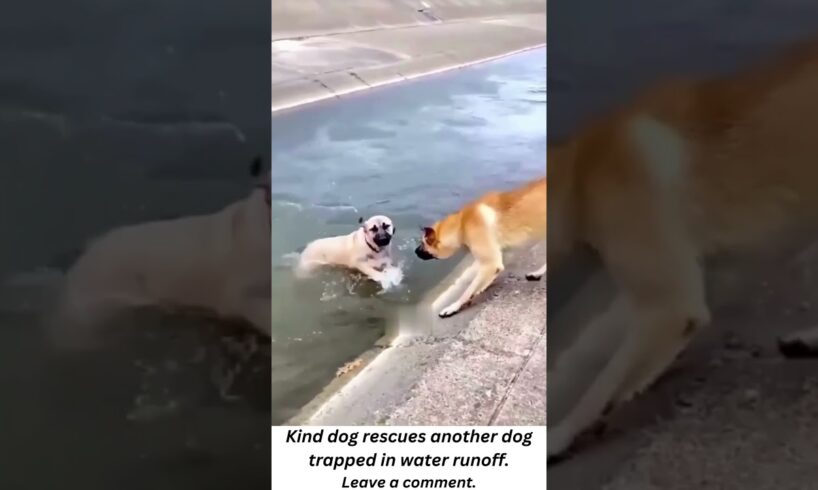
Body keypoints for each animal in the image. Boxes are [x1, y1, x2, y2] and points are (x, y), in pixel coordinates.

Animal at [412, 176, 544, 318]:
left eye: (423, 244)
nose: (415, 251)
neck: (461, 225)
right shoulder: (496, 260)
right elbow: (482, 280)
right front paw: (480, 289)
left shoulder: (490, 264)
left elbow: (468, 290)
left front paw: (454, 306)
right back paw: (537, 273)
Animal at [544, 40, 816, 462]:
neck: (580, 172)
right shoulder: (658, 297)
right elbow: (593, 361)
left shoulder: (668, 307)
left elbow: (599, 384)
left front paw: (560, 434)